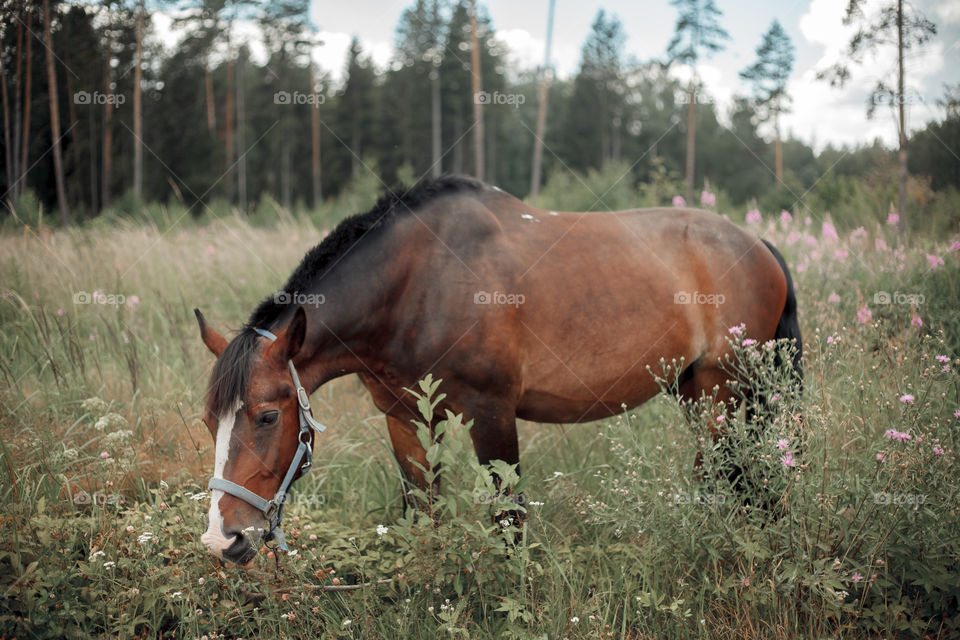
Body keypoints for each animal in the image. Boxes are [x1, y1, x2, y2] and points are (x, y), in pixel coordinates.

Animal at [197, 176, 804, 564]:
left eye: (268, 416)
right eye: (208, 423)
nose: (223, 540)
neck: (417, 281)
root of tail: (759, 245)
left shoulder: (492, 413)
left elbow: (509, 522)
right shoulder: (403, 417)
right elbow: (422, 513)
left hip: (721, 393)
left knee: (727, 478)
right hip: (695, 391)